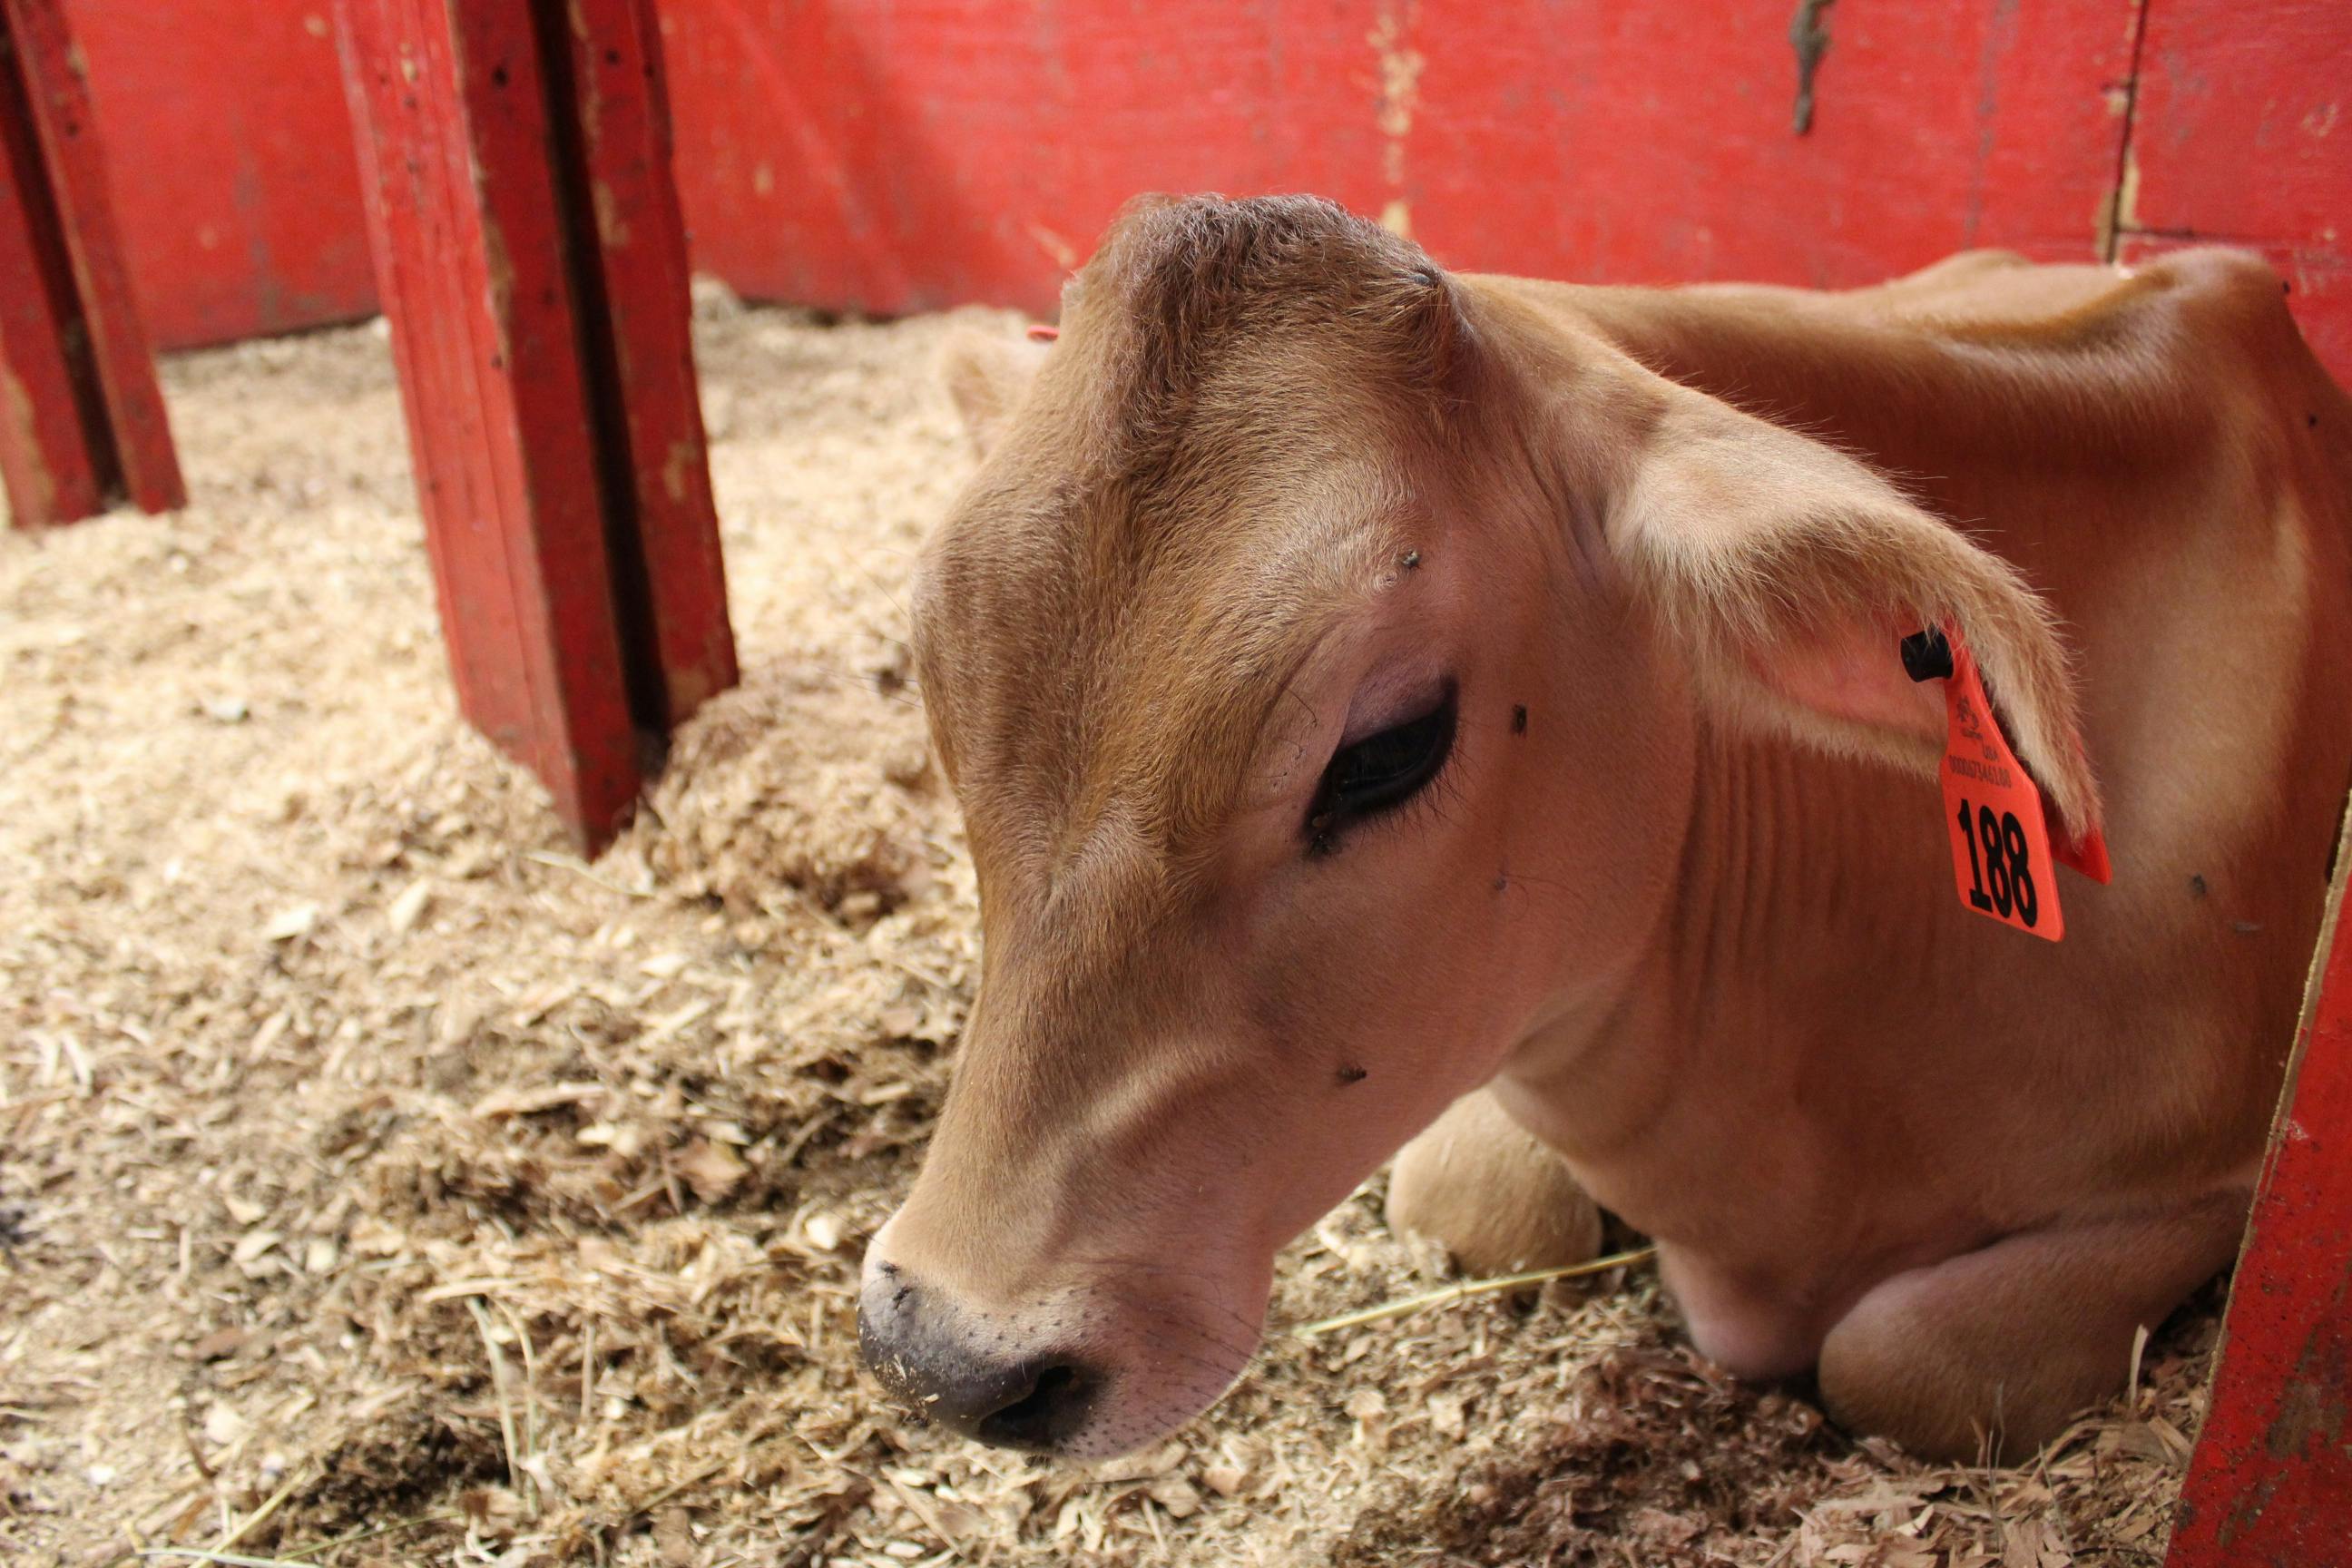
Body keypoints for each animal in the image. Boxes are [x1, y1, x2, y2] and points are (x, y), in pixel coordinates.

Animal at [860, 192, 2352, 1457]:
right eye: (936, 679)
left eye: (1388, 747)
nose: (947, 1356)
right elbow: (1478, 1198)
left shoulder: (2221, 1177)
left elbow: (1911, 1358)